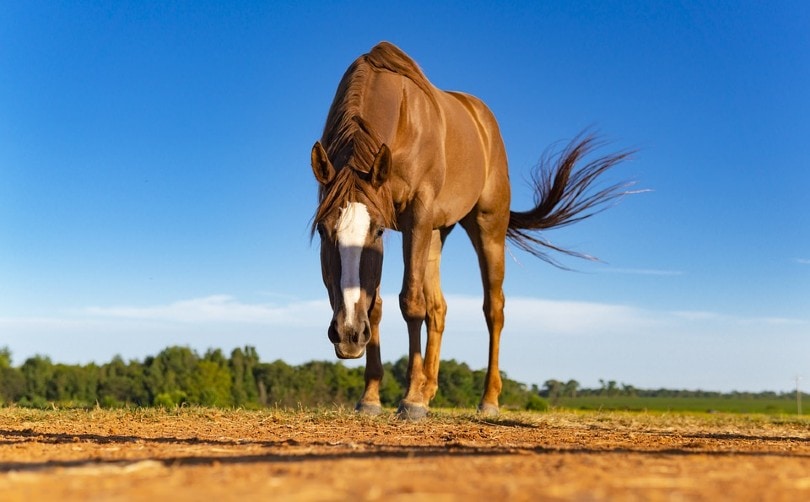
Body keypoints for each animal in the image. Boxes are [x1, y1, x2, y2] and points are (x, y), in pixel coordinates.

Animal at [310, 42, 633, 419]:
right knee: (438, 308)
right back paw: (428, 389)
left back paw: (487, 399)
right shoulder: (406, 227)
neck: (401, 118)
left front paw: (410, 399)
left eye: (375, 231)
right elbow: (376, 305)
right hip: (436, 233)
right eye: (323, 231)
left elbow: (411, 303)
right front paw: (372, 396)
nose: (348, 334)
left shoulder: (415, 218)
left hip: (486, 227)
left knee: (493, 309)